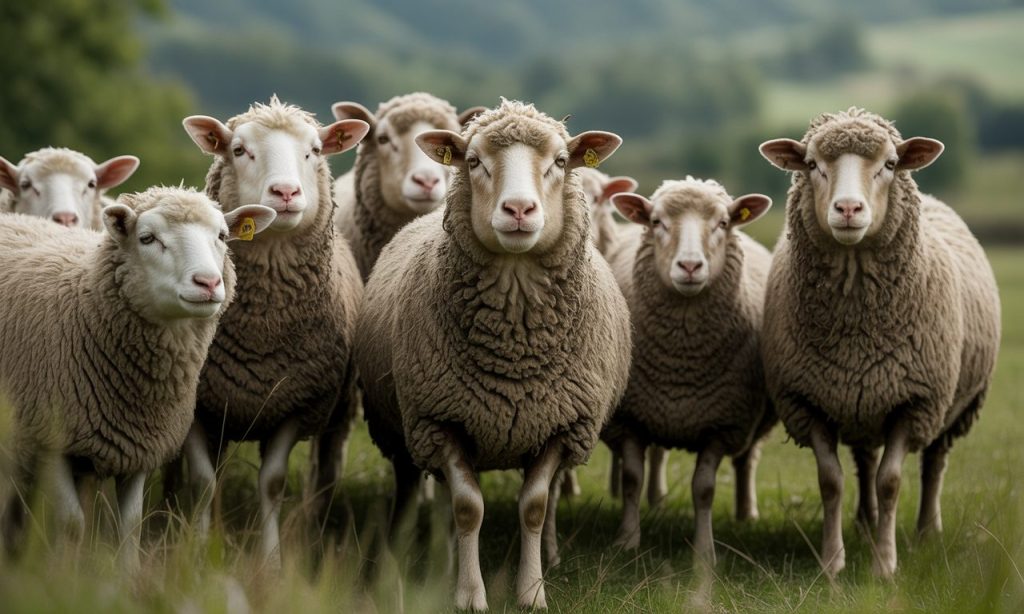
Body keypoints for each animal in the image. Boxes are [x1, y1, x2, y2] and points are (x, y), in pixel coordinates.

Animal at [0, 186, 275, 568]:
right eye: (147, 238)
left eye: (222, 236)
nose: (208, 282)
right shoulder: (48, 440)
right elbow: (71, 523)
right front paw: (64, 573)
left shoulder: (139, 443)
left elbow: (130, 524)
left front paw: (127, 576)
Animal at [180, 96, 369, 566]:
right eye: (239, 150)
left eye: (315, 151)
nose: (285, 194)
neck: (261, 332)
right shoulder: (197, 407)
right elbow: (203, 481)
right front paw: (196, 552)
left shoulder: (298, 404)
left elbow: (272, 482)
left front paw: (271, 560)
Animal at [354, 99, 631, 610]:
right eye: (473, 161)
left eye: (561, 161)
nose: (519, 209)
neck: (514, 353)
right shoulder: (440, 420)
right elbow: (468, 509)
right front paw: (468, 594)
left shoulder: (562, 425)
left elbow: (535, 506)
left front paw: (532, 591)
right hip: (404, 430)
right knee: (425, 489)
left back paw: (550, 553)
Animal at [602, 177, 775, 564]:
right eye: (657, 222)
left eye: (723, 223)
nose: (691, 267)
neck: (680, 363)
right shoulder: (631, 417)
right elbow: (633, 478)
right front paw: (627, 540)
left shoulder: (722, 425)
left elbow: (704, 489)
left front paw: (704, 551)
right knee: (656, 454)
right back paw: (656, 501)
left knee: (746, 462)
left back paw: (746, 514)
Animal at [758, 107, 1001, 579]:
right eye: (812, 164)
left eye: (890, 164)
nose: (849, 208)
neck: (857, 333)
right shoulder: (808, 401)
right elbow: (831, 482)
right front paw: (832, 562)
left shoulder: (915, 402)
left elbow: (891, 481)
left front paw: (885, 566)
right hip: (859, 401)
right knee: (865, 461)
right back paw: (865, 521)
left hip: (952, 405)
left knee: (934, 464)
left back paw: (926, 531)